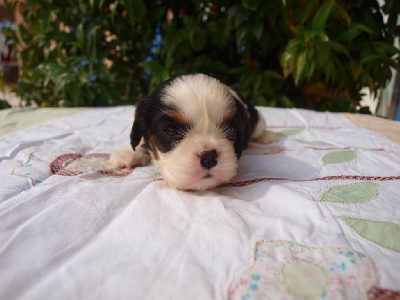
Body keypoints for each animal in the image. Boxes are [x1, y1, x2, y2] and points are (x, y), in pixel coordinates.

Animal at [109, 73, 278, 190]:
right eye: (171, 129)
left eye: (230, 129)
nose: (208, 156)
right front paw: (128, 153)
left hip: (258, 120)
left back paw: (267, 136)